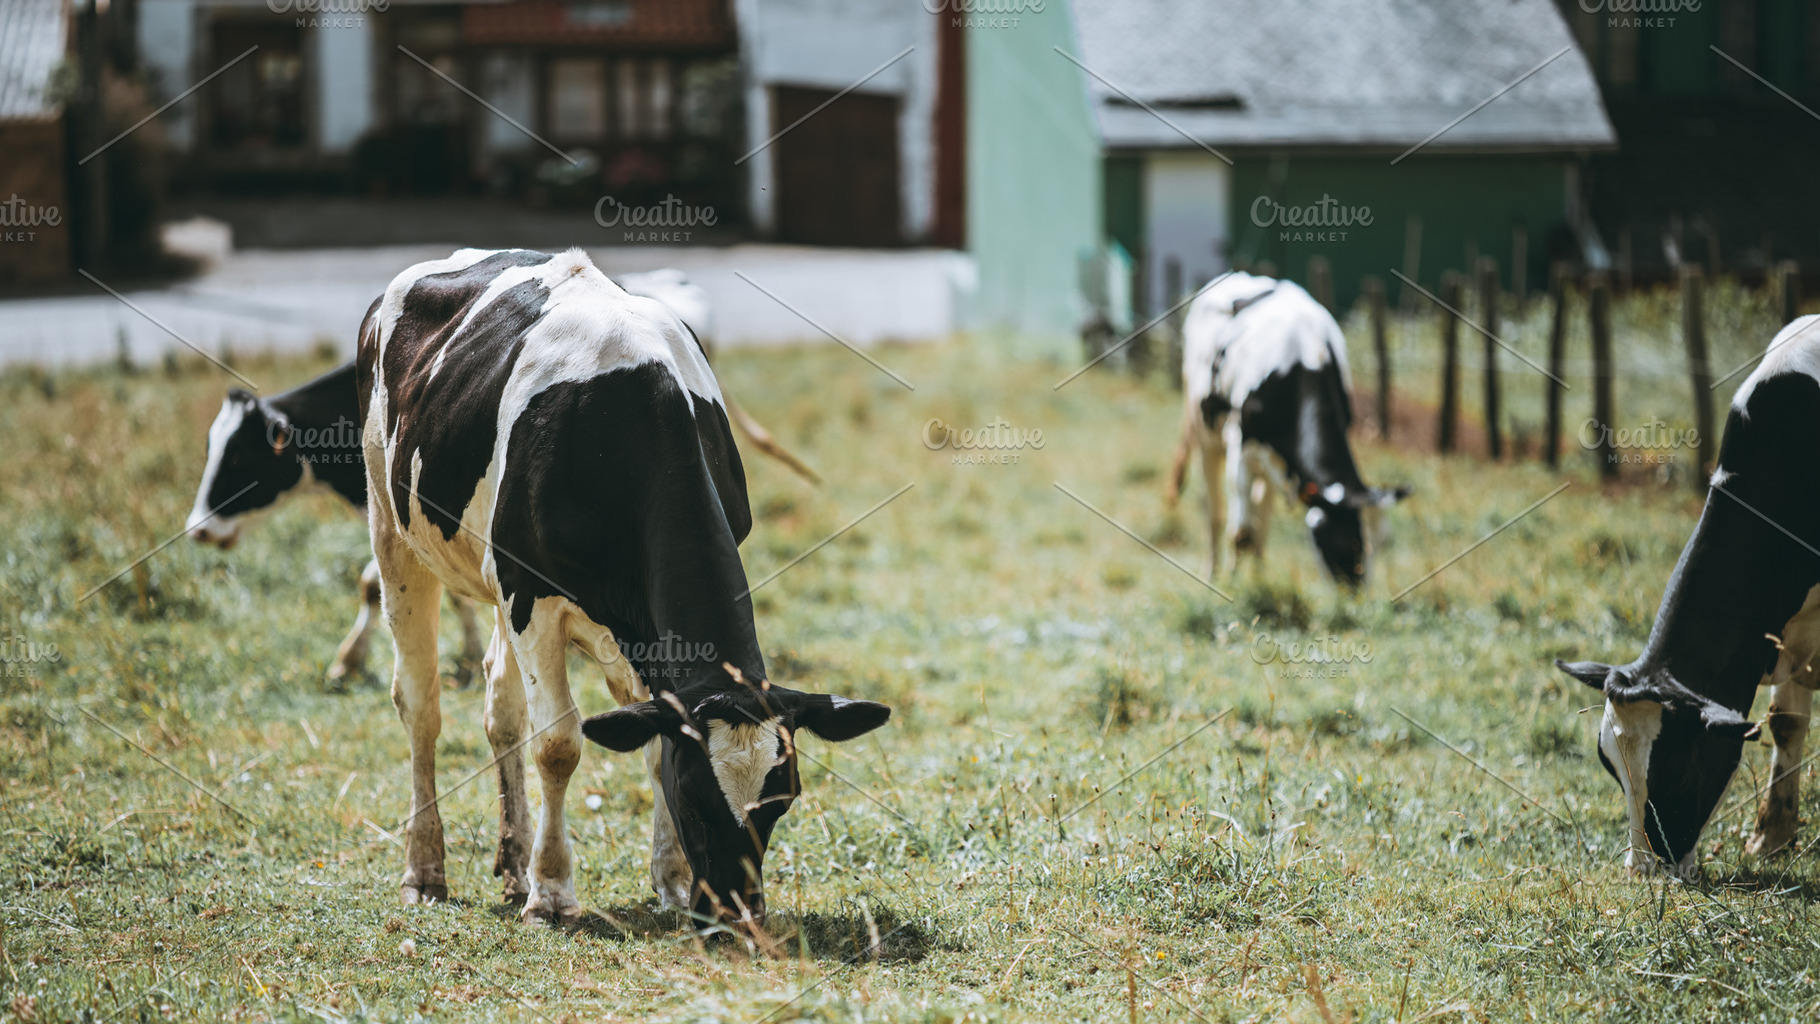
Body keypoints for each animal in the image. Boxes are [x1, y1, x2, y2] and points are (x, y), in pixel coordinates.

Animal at [358, 247, 889, 926]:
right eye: (695, 798)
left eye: (780, 801)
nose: (735, 914)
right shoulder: (531, 596)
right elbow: (559, 744)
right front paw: (552, 895)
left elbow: (650, 737)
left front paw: (671, 882)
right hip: (392, 527)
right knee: (420, 703)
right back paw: (426, 869)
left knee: (500, 706)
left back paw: (512, 863)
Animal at [1166, 273, 1409, 585]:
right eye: (1352, 542)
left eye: (1384, 543)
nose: (1359, 593)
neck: (1305, 358)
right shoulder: (1239, 443)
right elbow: (1240, 532)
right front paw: (1233, 580)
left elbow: (1258, 522)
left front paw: (1257, 577)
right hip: (1204, 431)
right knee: (1213, 508)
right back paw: (1213, 569)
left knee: (1261, 510)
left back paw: (1258, 566)